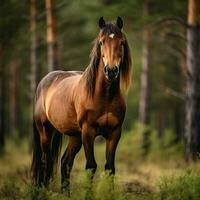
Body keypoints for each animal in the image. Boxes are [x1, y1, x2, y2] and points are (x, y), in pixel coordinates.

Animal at [31, 16, 132, 190]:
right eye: (101, 42)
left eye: (121, 42)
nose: (111, 71)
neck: (104, 96)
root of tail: (43, 82)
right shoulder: (88, 131)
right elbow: (91, 166)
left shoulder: (114, 132)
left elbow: (110, 168)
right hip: (46, 132)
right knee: (46, 163)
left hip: (75, 136)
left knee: (65, 163)